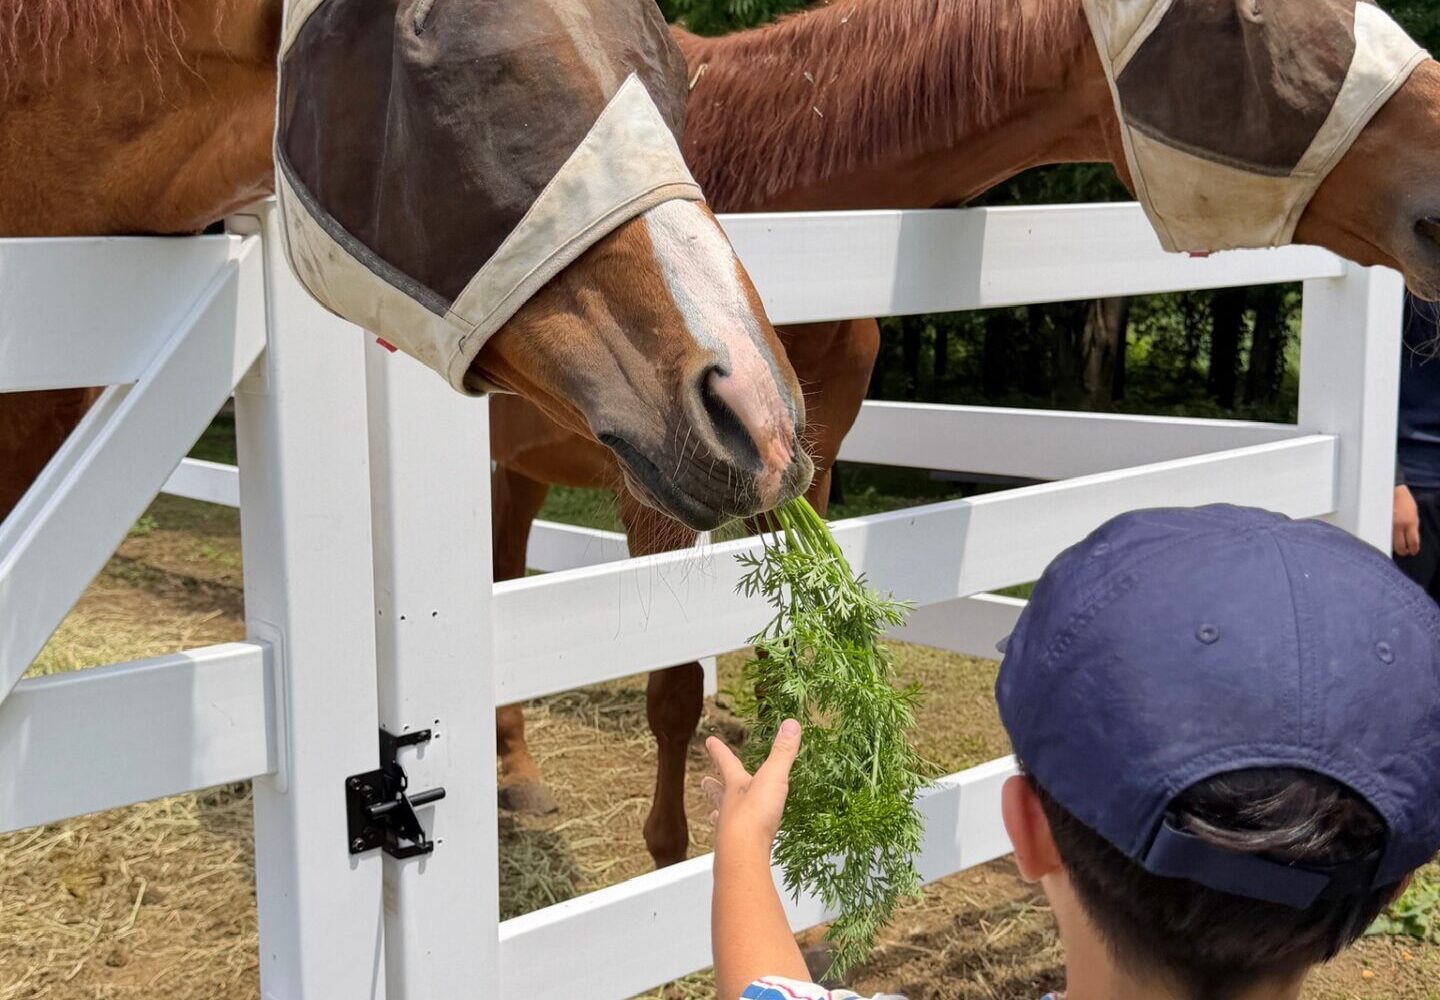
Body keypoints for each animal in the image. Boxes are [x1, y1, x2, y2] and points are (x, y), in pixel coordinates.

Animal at [487, 0, 1440, 869]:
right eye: (1245, 17)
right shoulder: (657, 495)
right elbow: (675, 690)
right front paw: (674, 861)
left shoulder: (802, 477)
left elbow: (789, 657)